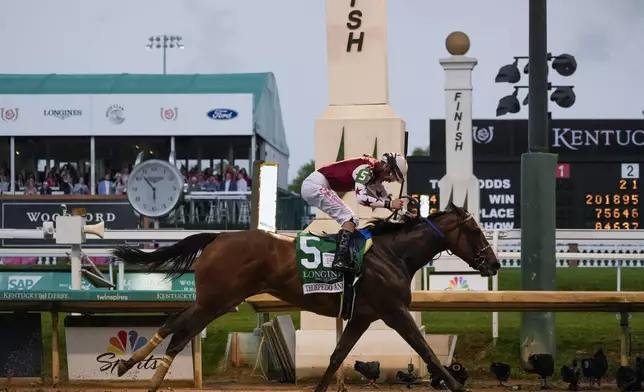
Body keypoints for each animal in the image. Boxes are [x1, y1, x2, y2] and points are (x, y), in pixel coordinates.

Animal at [113, 202, 500, 392]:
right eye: (476, 231)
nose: (495, 263)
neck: (394, 254)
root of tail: (219, 236)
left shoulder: (363, 314)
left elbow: (337, 355)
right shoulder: (393, 310)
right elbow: (426, 350)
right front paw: (457, 386)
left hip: (214, 298)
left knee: (173, 322)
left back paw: (130, 366)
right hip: (218, 300)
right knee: (182, 332)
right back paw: (147, 377)